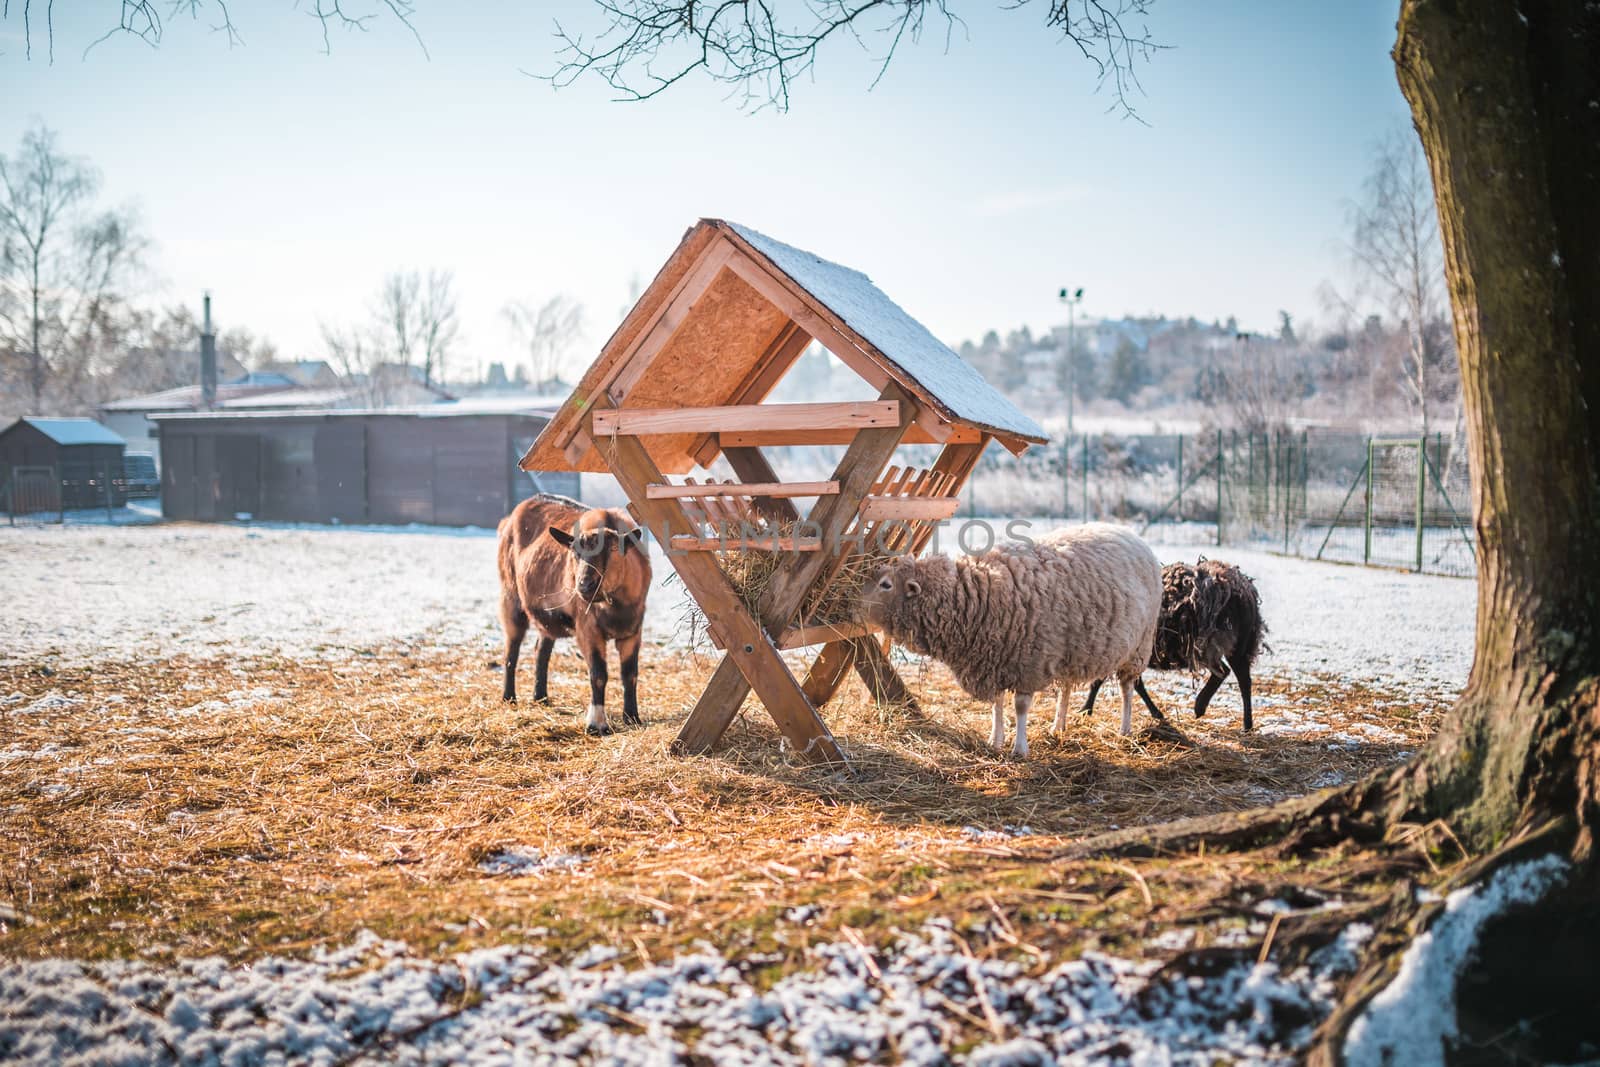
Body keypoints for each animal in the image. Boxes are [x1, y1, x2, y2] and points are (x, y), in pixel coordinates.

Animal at [496, 495, 652, 735]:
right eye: (575, 553)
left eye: (612, 550)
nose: (585, 585)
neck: (616, 606)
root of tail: (508, 520)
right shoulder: (588, 629)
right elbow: (598, 674)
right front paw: (596, 724)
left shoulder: (633, 630)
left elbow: (630, 674)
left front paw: (632, 717)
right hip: (511, 597)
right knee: (511, 650)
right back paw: (509, 698)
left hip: (547, 618)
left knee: (541, 650)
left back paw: (540, 697)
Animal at [864, 524, 1164, 755]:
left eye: (886, 584)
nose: (853, 601)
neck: (976, 595)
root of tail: (1129, 533)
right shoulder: (991, 657)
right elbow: (997, 704)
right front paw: (994, 740)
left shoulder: (1028, 662)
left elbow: (1020, 707)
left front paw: (1020, 749)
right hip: (1071, 647)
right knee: (1066, 688)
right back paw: (1058, 726)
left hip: (1138, 646)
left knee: (1127, 688)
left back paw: (1125, 729)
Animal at [1081, 559, 1267, 726]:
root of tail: (1245, 589)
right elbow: (1136, 683)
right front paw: (1157, 713)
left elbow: (1099, 682)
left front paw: (1085, 710)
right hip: (1226, 647)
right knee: (1229, 674)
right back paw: (1210, 710)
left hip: (1226, 646)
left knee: (1239, 679)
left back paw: (1230, 718)